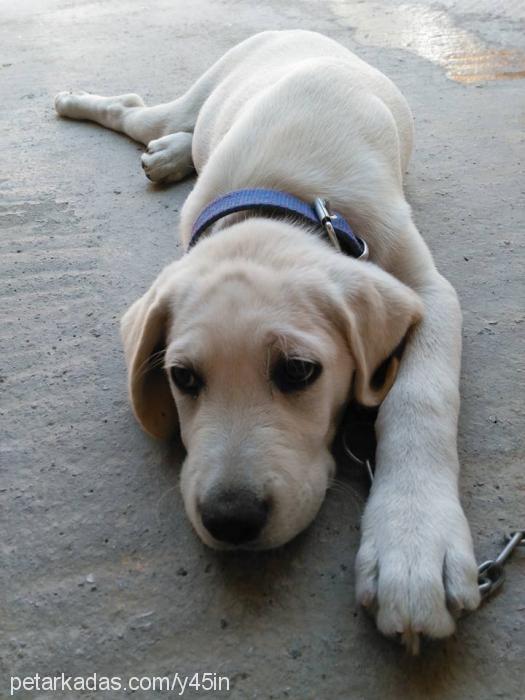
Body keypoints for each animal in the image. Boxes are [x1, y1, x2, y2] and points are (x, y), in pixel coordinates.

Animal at [56, 30, 478, 648]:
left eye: (299, 371)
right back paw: (92, 110)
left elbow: (420, 398)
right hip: (204, 91)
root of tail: (296, 31)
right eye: (182, 378)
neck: (286, 197)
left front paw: (414, 542)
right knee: (138, 112)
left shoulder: (429, 292)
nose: (230, 520)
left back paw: (165, 151)